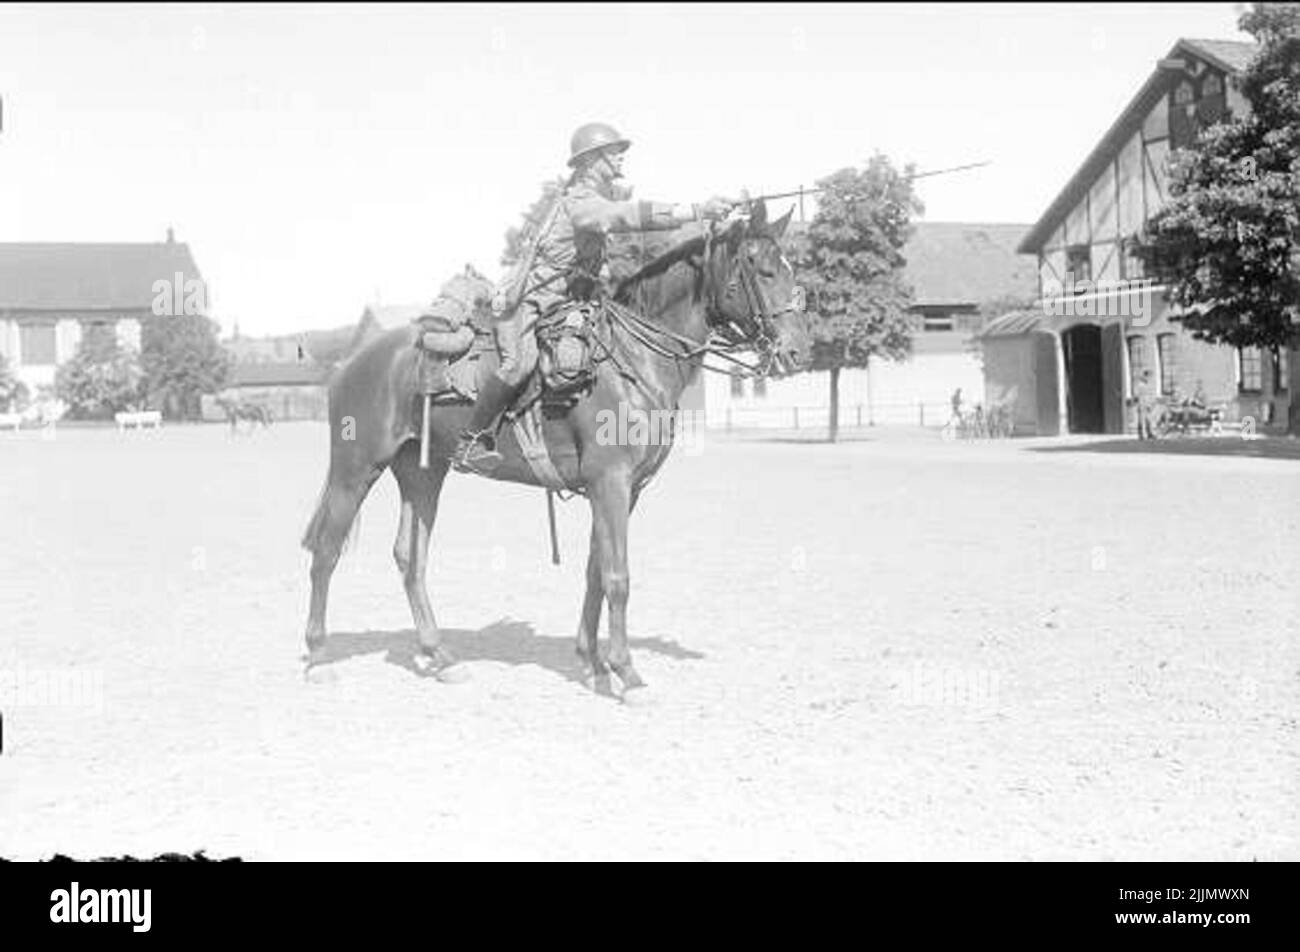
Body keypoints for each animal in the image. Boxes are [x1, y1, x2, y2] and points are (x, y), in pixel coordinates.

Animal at [300, 204, 813, 697]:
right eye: (763, 269)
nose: (797, 352)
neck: (632, 360)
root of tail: (350, 363)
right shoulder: (610, 483)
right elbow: (618, 577)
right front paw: (628, 673)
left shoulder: (625, 490)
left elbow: (595, 571)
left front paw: (593, 663)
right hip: (356, 469)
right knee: (326, 552)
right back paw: (319, 658)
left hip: (422, 473)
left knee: (410, 557)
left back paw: (439, 656)